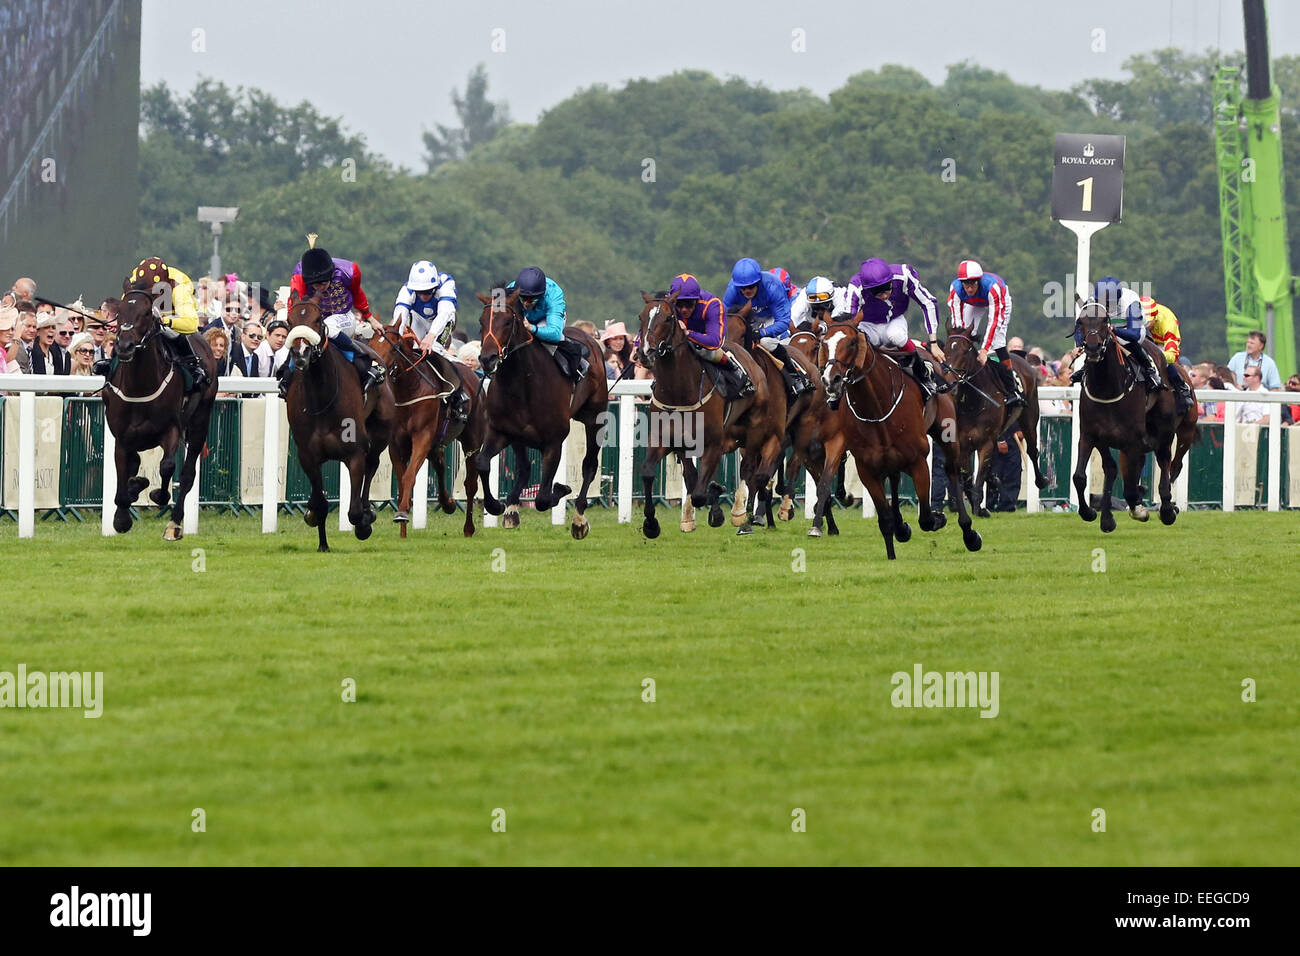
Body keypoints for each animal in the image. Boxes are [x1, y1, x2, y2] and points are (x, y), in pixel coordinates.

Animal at [105, 287, 217, 538]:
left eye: (147, 313)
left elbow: (167, 466)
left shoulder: (171, 428)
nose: (124, 346)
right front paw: (122, 516)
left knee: (187, 475)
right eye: (119, 312)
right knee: (136, 462)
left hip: (201, 419)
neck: (140, 387)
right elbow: (123, 471)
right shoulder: (122, 436)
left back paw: (174, 524)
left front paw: (158, 494)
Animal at [279, 299, 390, 554]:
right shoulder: (307, 456)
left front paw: (363, 524)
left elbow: (354, 511)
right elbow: (320, 503)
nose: (300, 353)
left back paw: (368, 512)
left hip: (380, 433)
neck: (322, 398)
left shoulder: (355, 452)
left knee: (372, 465)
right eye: (289, 320)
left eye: (318, 319)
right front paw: (322, 542)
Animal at [369, 327, 486, 538]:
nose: (375, 369)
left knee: (470, 484)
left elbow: (409, 476)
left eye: (393, 348)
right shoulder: (396, 445)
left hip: (472, 441)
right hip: (437, 443)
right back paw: (448, 504)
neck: (409, 390)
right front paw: (403, 527)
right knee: (440, 464)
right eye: (371, 343)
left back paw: (468, 528)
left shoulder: (422, 438)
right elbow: (402, 480)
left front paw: (402, 513)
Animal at [475, 283, 605, 538]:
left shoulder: (554, 442)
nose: (487, 359)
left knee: (589, 465)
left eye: (507, 321)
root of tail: (590, 338)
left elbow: (543, 498)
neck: (522, 381)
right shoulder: (500, 431)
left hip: (595, 418)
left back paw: (579, 519)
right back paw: (512, 508)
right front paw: (497, 505)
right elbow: (483, 463)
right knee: (524, 468)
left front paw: (562, 487)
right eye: (481, 321)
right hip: (519, 437)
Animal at [1071, 300, 1190, 530]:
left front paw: (1140, 509)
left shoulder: (1132, 441)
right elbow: (1083, 476)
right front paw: (1092, 513)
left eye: (1105, 321)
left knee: (1166, 462)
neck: (1107, 388)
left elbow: (1130, 487)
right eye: (1080, 321)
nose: (1092, 348)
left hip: (1165, 431)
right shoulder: (1091, 435)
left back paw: (1167, 509)